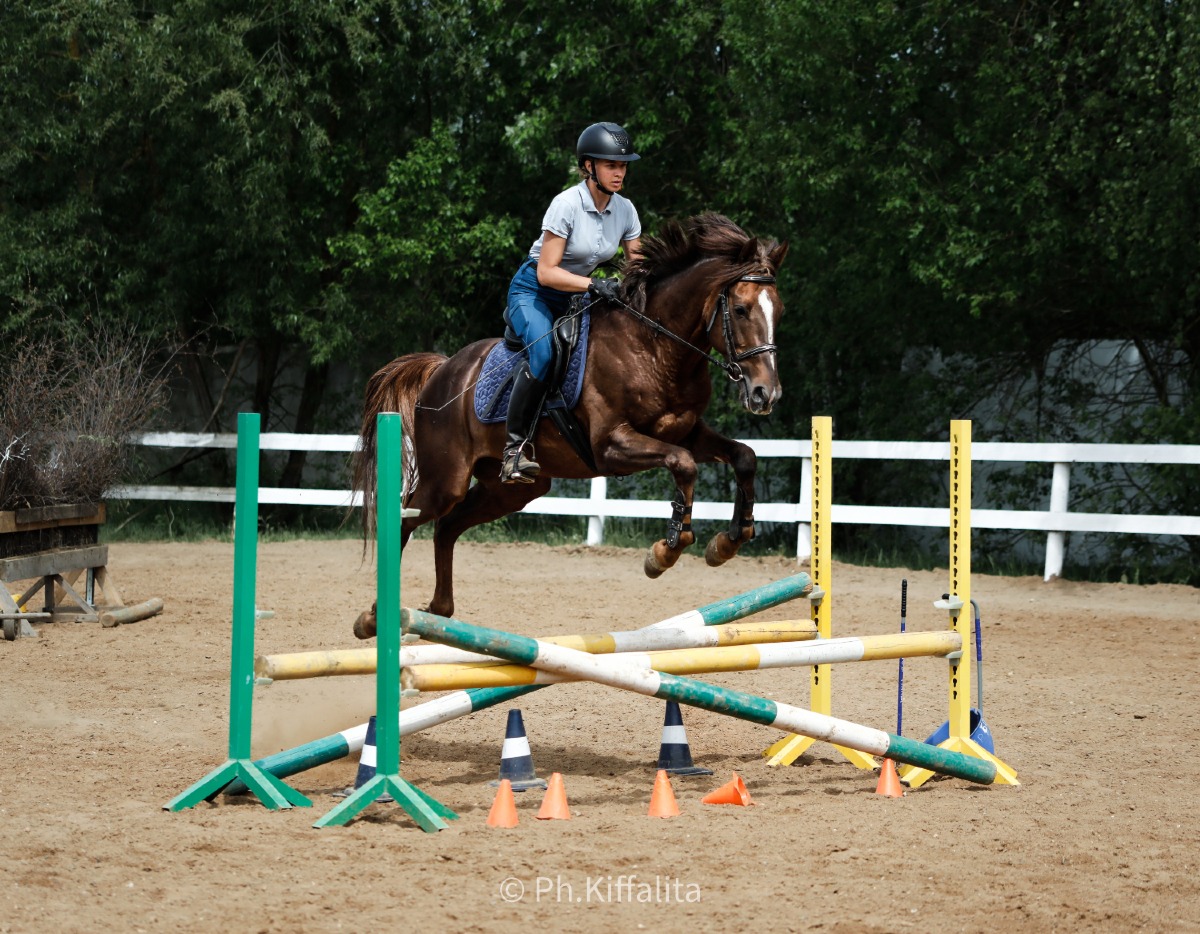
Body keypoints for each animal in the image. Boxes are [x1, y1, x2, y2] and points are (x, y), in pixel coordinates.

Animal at [351, 212, 788, 637]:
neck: (655, 348)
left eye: (779, 311)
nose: (766, 394)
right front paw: (664, 552)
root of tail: (443, 370)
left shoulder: (687, 432)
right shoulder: (612, 446)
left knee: (447, 526)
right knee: (407, 518)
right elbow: (683, 465)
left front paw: (729, 542)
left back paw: (438, 610)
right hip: (446, 479)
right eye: (741, 310)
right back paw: (374, 617)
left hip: (511, 490)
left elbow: (743, 457)